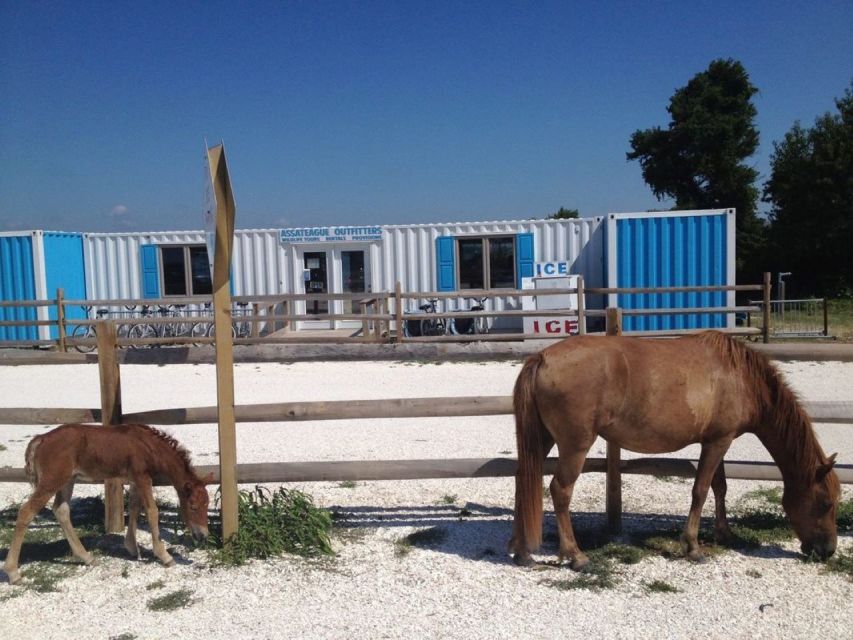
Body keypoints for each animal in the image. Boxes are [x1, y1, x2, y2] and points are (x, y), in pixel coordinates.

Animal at [510, 332, 844, 568]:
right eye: (826, 503)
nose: (827, 551)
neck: (741, 378)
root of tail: (542, 357)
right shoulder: (718, 441)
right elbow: (701, 490)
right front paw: (693, 547)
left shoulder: (717, 440)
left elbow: (719, 488)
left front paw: (725, 534)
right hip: (575, 445)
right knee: (560, 490)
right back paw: (575, 555)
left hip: (542, 440)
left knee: (524, 483)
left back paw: (522, 552)